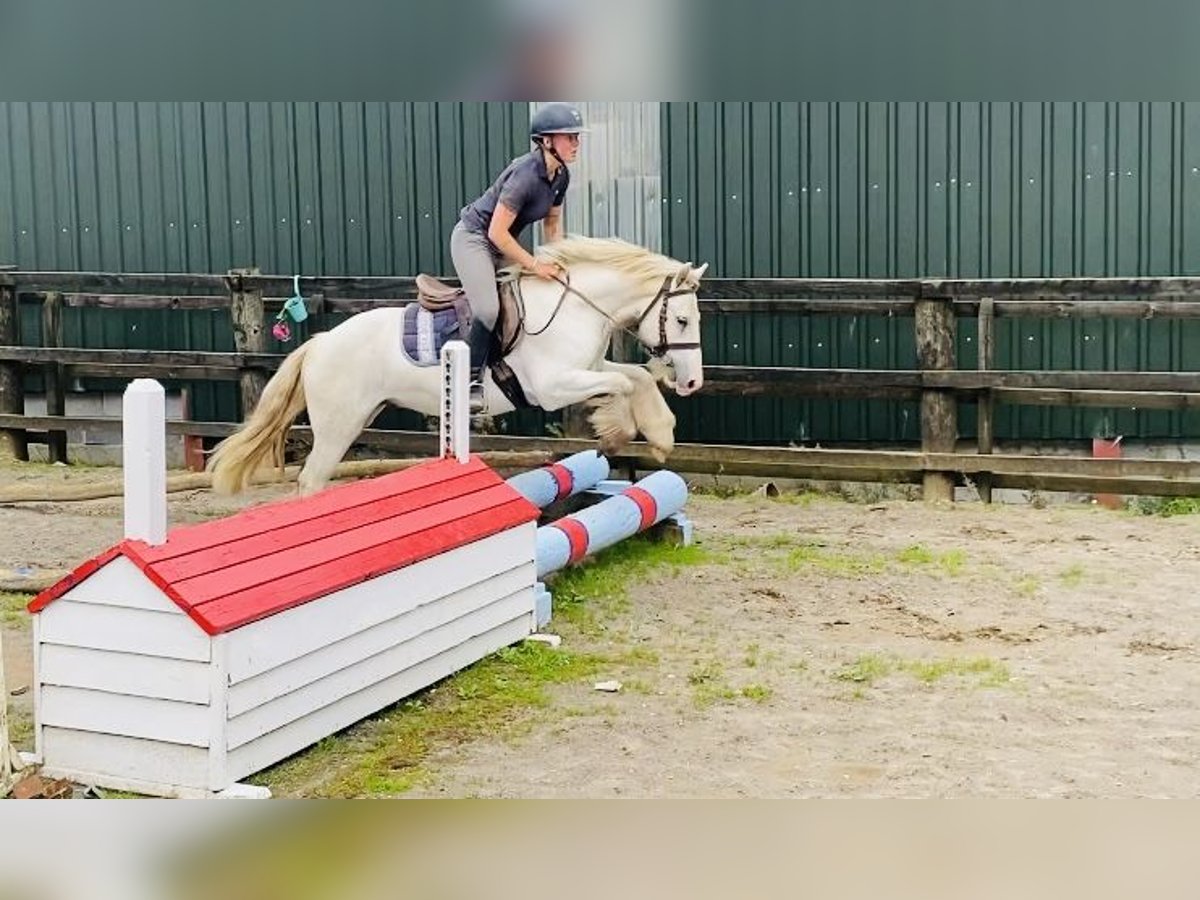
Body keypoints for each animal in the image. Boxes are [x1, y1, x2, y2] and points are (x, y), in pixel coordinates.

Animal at [211, 236, 705, 496]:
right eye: (682, 319)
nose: (693, 382)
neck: (574, 307)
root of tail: (319, 344)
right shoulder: (554, 386)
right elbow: (623, 384)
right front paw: (621, 431)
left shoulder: (589, 366)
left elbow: (634, 378)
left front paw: (660, 434)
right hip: (339, 425)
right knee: (312, 480)